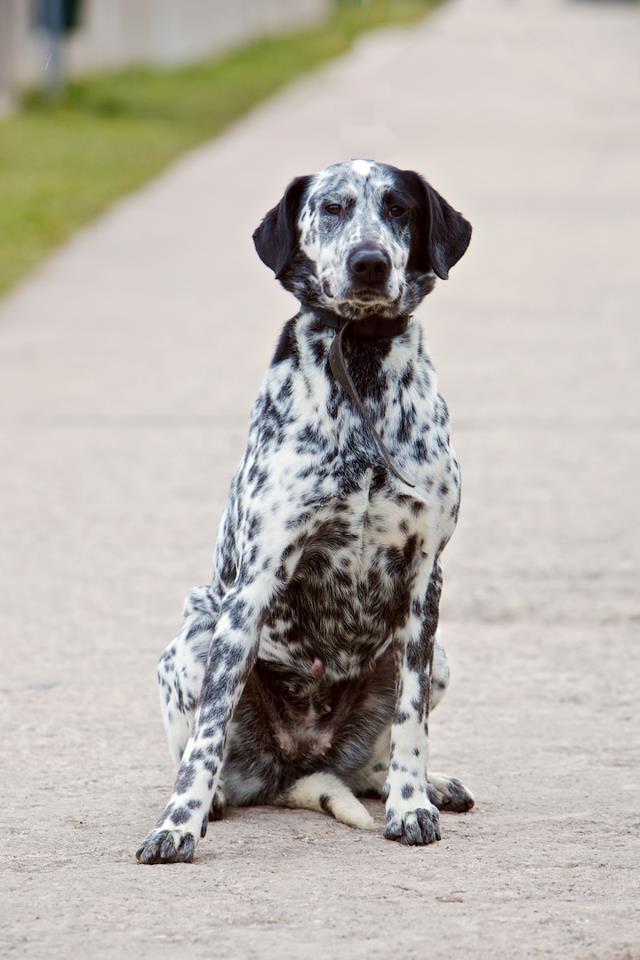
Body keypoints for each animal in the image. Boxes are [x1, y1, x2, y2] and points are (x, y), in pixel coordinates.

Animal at [136, 158, 476, 864]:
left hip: (440, 657)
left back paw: (422, 784)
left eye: (398, 208)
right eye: (333, 207)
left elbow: (411, 724)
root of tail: (298, 768)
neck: (362, 360)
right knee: (207, 755)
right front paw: (176, 824)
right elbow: (206, 738)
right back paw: (211, 800)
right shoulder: (254, 583)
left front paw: (412, 805)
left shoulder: (425, 580)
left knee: (373, 765)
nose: (370, 262)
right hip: (193, 638)